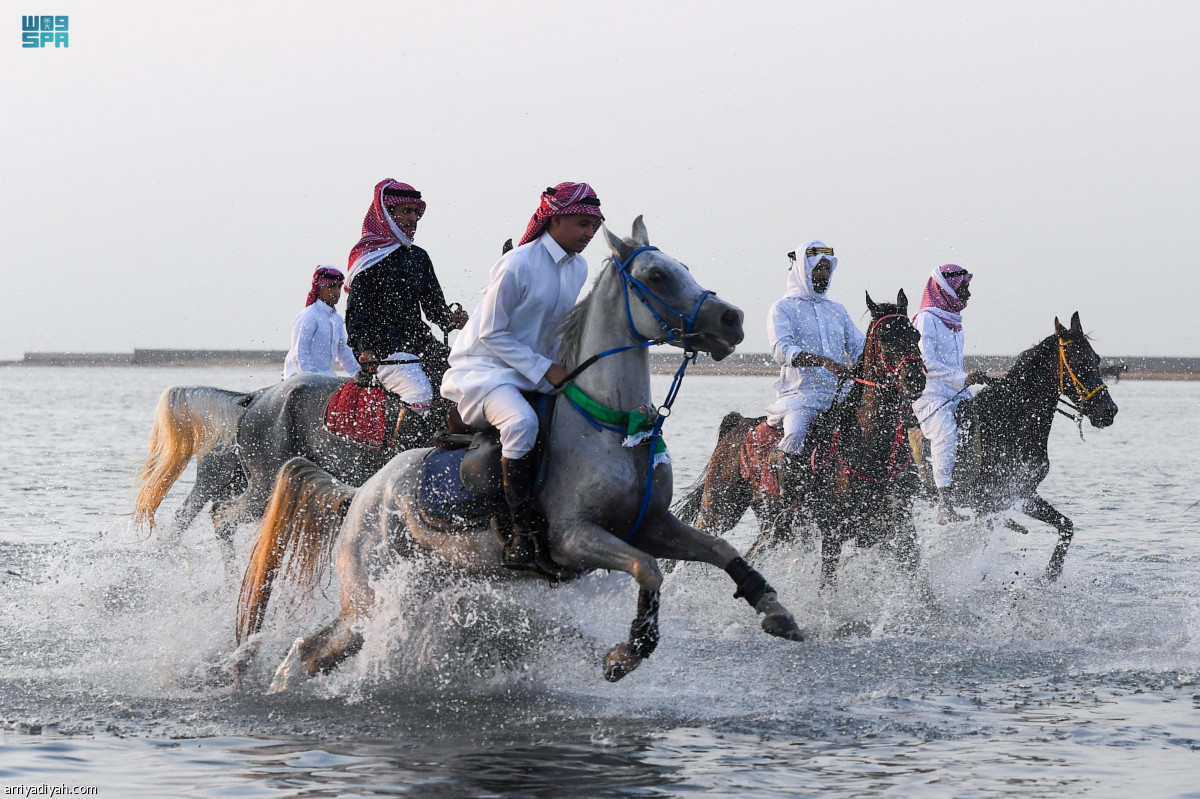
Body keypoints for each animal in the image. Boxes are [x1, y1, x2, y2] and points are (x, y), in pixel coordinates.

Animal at [234, 214, 806, 686]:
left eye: (683, 267)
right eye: (658, 276)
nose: (732, 319)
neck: (612, 425)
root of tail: (359, 497)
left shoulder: (649, 524)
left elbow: (722, 550)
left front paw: (776, 611)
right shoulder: (577, 539)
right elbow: (649, 570)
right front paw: (628, 651)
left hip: (411, 590)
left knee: (310, 652)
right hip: (370, 599)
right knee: (308, 651)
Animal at [676, 287, 926, 578]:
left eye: (915, 335)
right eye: (885, 337)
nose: (915, 378)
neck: (871, 452)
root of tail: (737, 425)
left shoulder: (899, 526)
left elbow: (920, 581)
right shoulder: (833, 532)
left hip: (771, 528)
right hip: (719, 511)